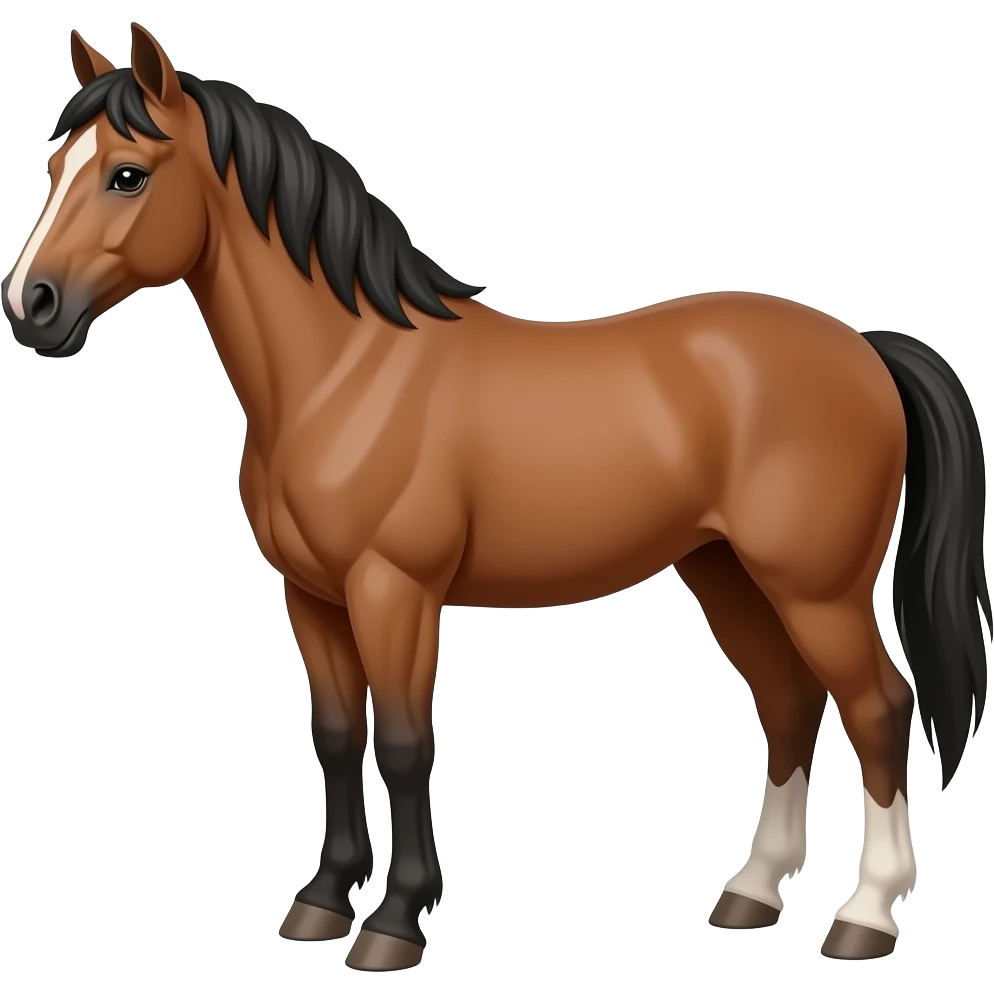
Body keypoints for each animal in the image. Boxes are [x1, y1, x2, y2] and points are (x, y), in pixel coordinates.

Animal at [2, 23, 989, 971]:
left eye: (128, 174)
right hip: (728, 575)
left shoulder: (393, 591)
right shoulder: (311, 597)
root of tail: (862, 348)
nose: (31, 306)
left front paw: (394, 924)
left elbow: (406, 745)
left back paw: (864, 917)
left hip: (815, 589)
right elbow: (335, 738)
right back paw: (749, 895)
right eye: (54, 170)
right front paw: (321, 903)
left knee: (878, 708)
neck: (346, 372)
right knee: (788, 704)